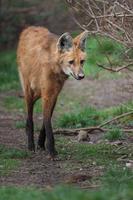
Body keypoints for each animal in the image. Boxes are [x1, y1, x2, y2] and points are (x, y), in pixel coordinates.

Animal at [17, 26, 88, 159]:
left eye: (82, 61)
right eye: (71, 62)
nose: (81, 76)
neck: (54, 67)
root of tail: (29, 28)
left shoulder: (54, 95)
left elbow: (46, 120)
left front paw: (41, 145)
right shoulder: (47, 94)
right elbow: (47, 123)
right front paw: (51, 151)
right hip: (29, 90)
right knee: (30, 115)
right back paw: (30, 145)